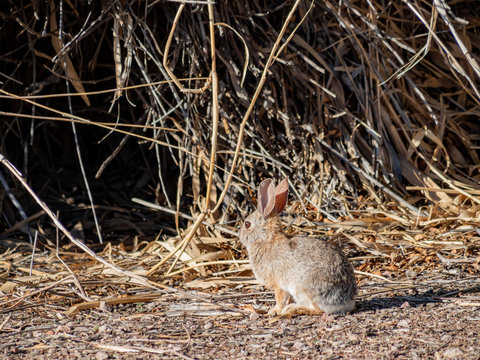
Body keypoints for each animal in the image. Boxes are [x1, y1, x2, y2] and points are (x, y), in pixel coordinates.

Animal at [240, 177, 356, 316]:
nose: (240, 235)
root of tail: (346, 301)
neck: (266, 239)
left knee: (317, 310)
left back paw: (293, 309)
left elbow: (280, 299)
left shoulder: (279, 285)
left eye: (247, 224)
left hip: (303, 289)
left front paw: (274, 311)